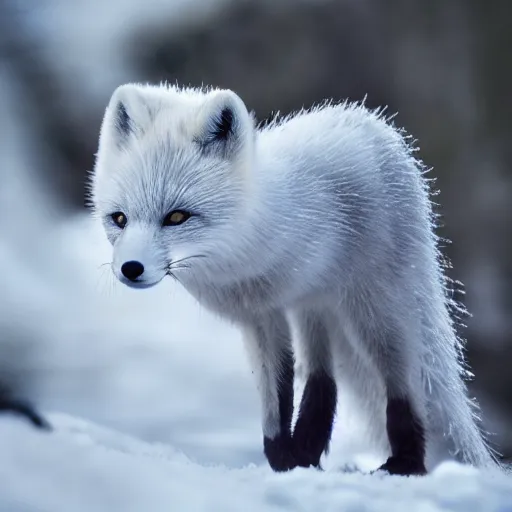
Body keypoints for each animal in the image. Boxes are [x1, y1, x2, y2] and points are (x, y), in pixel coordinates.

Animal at [90, 81, 498, 476]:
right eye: (119, 219)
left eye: (176, 217)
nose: (130, 268)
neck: (246, 262)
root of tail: (374, 124)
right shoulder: (261, 315)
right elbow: (276, 396)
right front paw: (283, 459)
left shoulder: (301, 301)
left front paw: (293, 459)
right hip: (319, 312)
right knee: (323, 379)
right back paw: (308, 450)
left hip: (371, 308)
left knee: (401, 381)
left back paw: (405, 463)